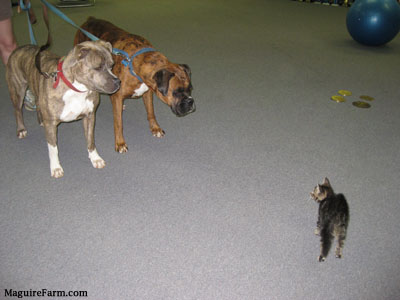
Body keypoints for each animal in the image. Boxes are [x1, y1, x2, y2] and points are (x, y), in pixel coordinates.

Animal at [6, 41, 120, 179]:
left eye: (112, 65)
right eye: (98, 67)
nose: (118, 82)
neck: (77, 88)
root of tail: (20, 48)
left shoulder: (90, 116)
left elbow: (90, 140)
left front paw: (95, 158)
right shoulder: (51, 125)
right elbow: (53, 148)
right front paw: (56, 167)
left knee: (38, 102)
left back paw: (41, 120)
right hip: (18, 89)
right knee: (17, 110)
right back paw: (21, 129)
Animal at [74, 17, 196, 152]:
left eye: (190, 89)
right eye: (176, 92)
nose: (191, 101)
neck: (135, 64)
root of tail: (90, 19)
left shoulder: (148, 93)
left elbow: (151, 112)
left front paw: (155, 128)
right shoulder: (118, 97)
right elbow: (118, 123)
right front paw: (120, 143)